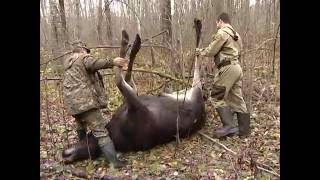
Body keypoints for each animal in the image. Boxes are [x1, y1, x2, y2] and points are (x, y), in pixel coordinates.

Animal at [62, 20, 205, 165]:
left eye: (85, 137)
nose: (65, 153)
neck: (113, 131)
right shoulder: (135, 105)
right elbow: (120, 78)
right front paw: (129, 44)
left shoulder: (133, 100)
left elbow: (124, 76)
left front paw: (129, 44)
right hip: (195, 91)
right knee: (197, 74)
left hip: (190, 91)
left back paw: (197, 29)